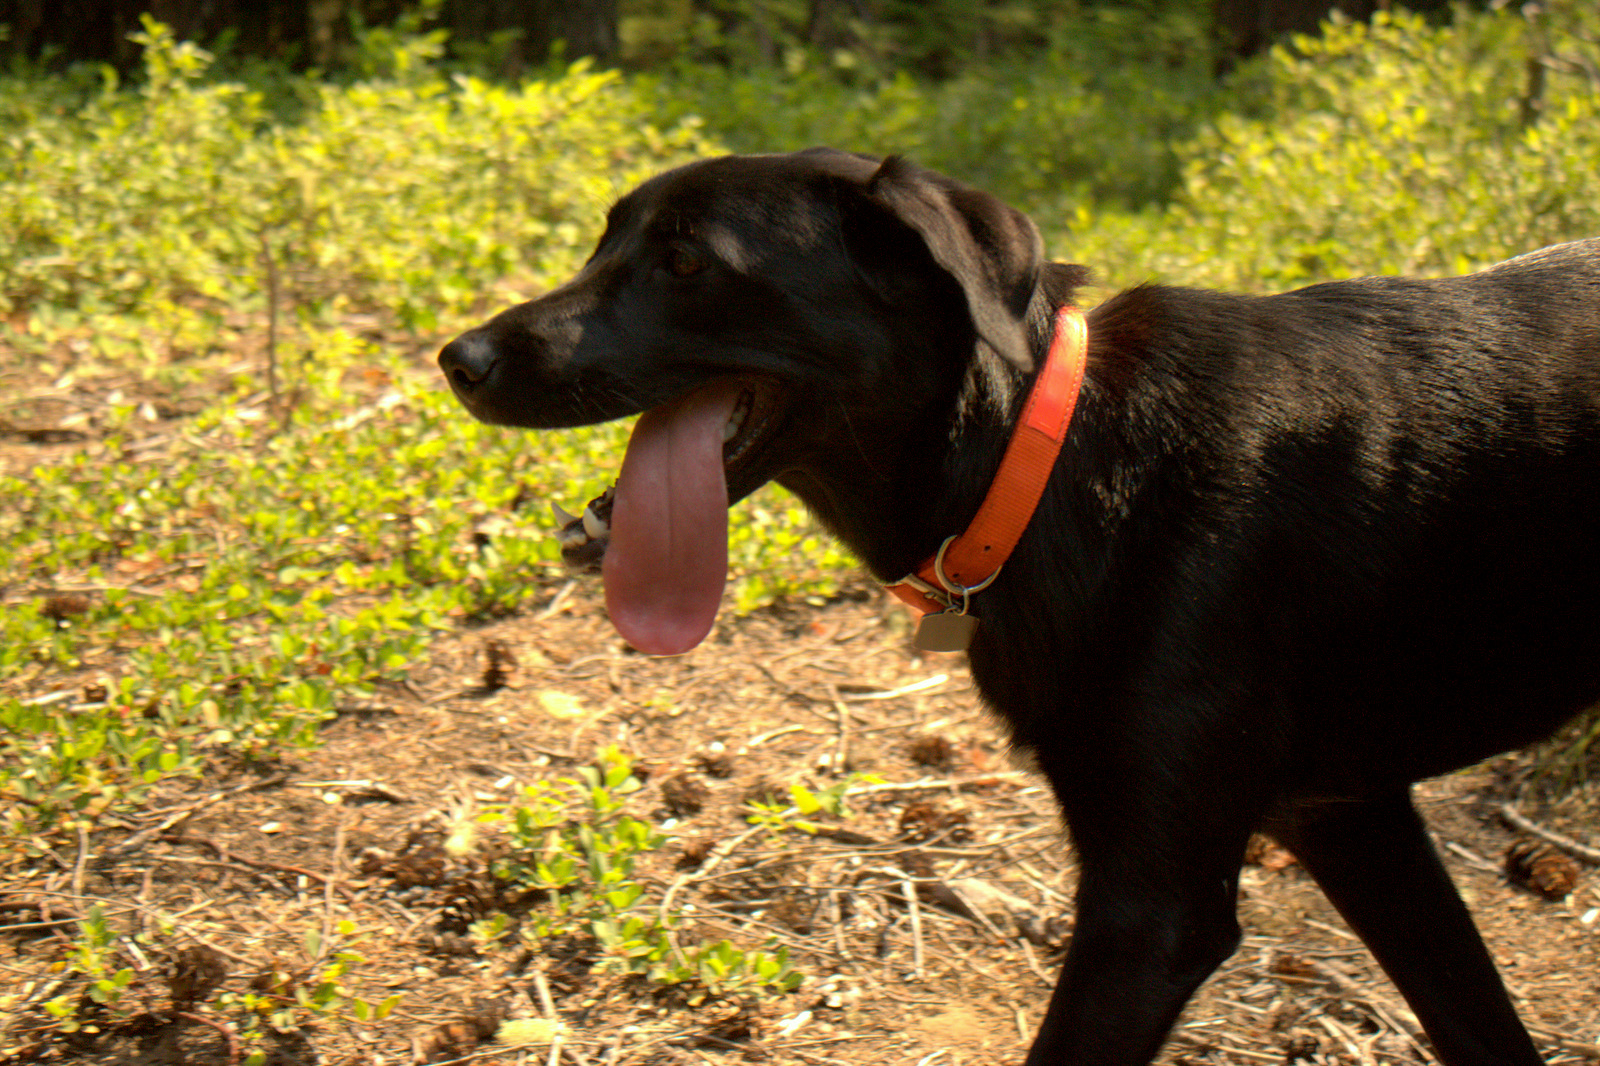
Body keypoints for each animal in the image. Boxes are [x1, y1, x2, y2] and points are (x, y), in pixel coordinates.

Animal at [439, 147, 1600, 1065]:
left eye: (686, 262)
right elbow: (1478, 1023)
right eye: (605, 241)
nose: (458, 358)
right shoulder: (1354, 819)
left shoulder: (1153, 911)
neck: (1047, 456)